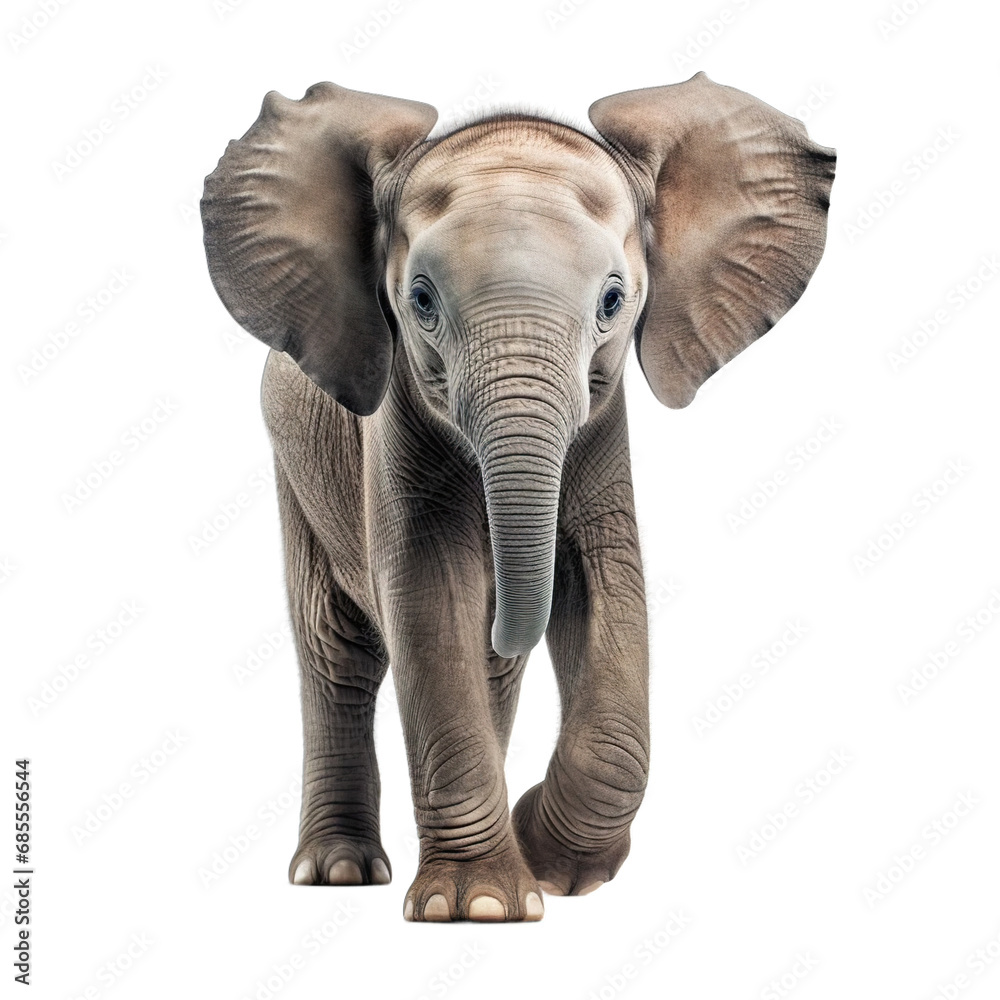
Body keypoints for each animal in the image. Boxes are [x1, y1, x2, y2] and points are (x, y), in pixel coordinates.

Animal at [201, 72, 835, 923]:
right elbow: (427, 597)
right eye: (420, 300)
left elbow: (605, 586)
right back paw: (340, 871)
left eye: (612, 302)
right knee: (338, 651)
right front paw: (478, 907)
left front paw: (545, 867)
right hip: (292, 457)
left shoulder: (600, 430)